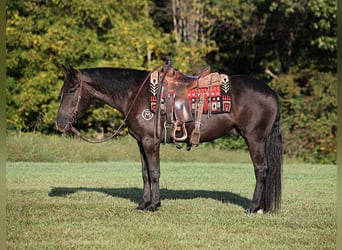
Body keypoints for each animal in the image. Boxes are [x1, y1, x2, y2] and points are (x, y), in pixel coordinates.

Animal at [54, 64, 282, 213]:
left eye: (72, 90)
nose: (59, 124)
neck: (135, 94)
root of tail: (271, 92)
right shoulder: (140, 142)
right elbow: (145, 173)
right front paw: (143, 204)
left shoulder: (150, 142)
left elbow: (154, 172)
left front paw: (154, 205)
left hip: (255, 140)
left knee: (261, 170)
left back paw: (253, 207)